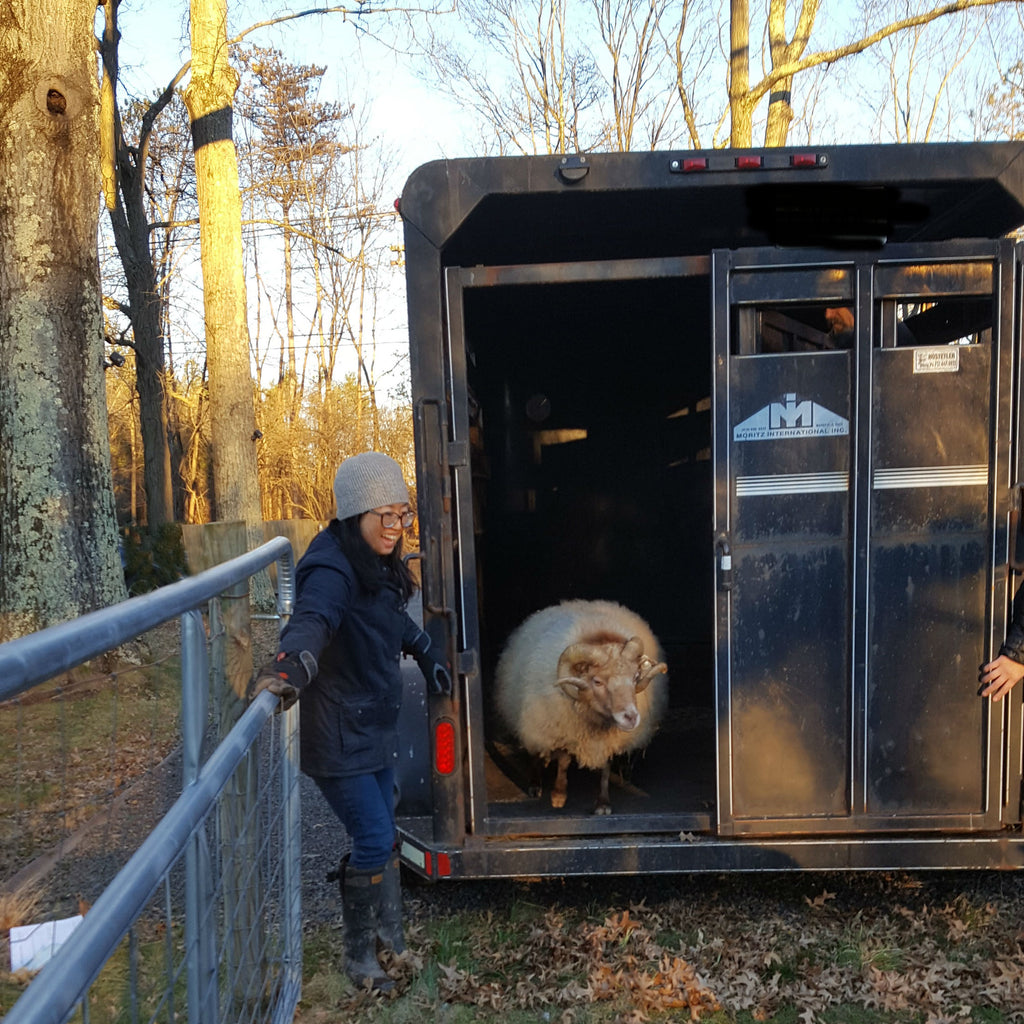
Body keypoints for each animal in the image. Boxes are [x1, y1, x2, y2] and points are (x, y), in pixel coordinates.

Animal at [491, 598, 667, 815]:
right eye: (597, 682)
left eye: (635, 677)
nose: (631, 717)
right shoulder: (563, 729)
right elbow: (564, 761)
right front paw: (558, 795)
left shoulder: (608, 740)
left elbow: (605, 768)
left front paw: (603, 803)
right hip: (530, 718)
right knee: (534, 749)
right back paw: (535, 784)